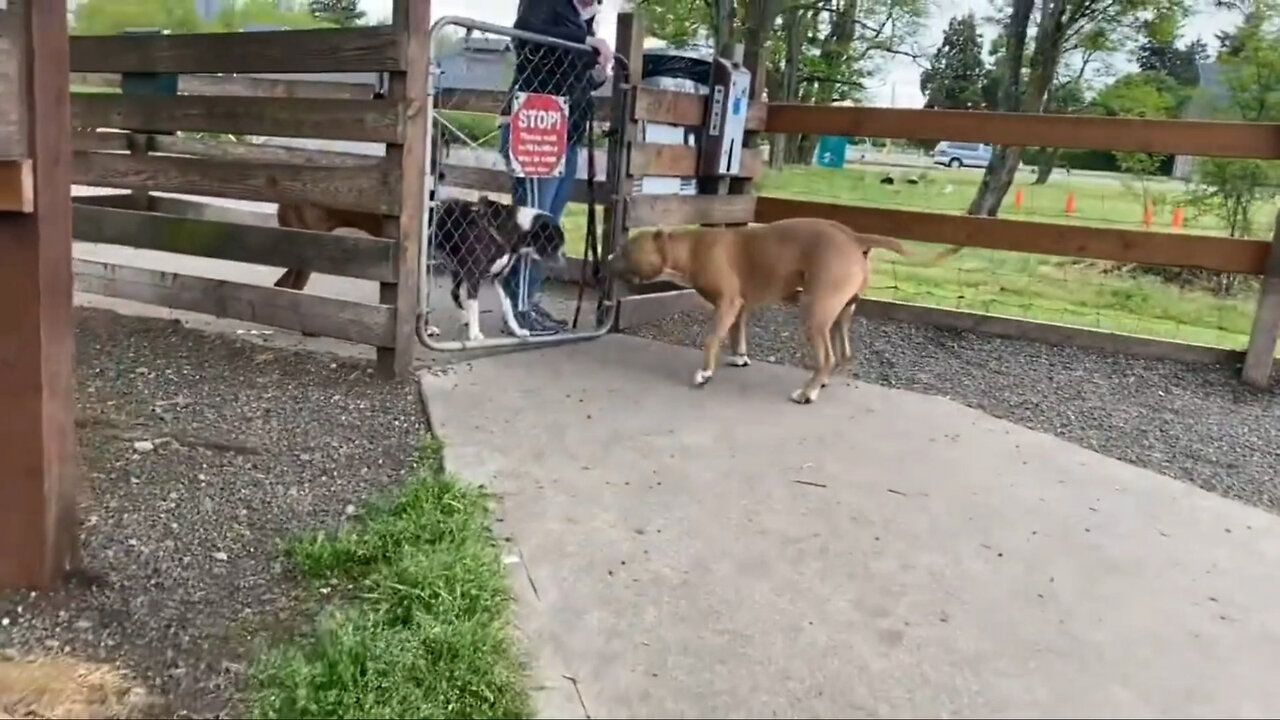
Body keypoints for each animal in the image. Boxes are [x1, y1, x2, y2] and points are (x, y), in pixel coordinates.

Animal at [430, 194, 565, 340]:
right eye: (555, 245)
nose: (563, 263)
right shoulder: (473, 275)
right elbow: (475, 305)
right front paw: (474, 333)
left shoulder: (499, 278)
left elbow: (508, 307)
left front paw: (517, 330)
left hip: (458, 269)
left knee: (454, 292)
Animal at [604, 215, 906, 399]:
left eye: (625, 250)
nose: (606, 258)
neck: (686, 250)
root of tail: (854, 237)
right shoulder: (739, 306)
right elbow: (737, 332)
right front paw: (740, 357)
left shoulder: (727, 302)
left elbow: (712, 338)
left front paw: (706, 373)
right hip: (841, 312)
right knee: (843, 352)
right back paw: (821, 381)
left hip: (815, 311)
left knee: (827, 356)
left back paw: (807, 392)